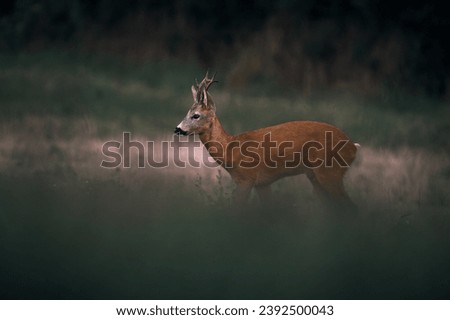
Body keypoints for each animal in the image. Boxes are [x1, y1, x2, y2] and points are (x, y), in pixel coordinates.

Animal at [174, 74, 360, 211]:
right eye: (187, 112)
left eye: (196, 115)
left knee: (351, 208)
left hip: (330, 172)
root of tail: (353, 147)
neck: (231, 148)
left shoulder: (246, 179)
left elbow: (236, 210)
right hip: (315, 176)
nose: (178, 129)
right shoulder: (262, 184)